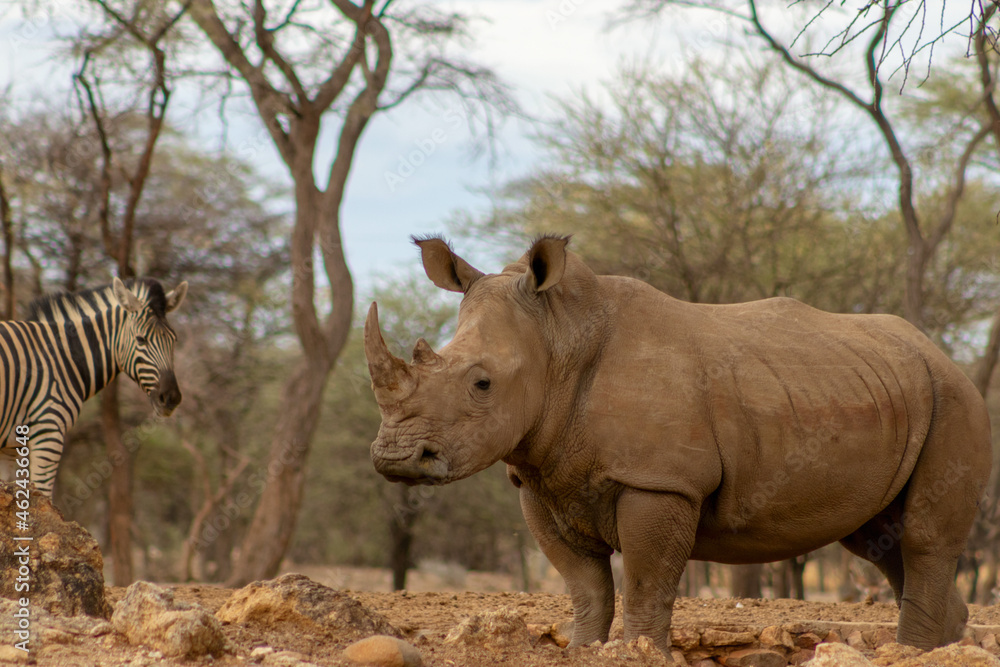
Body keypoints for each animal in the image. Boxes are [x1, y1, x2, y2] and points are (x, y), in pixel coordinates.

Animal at [364, 235, 991, 656]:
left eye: (482, 383)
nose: (394, 458)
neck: (558, 337)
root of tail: (944, 354)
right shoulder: (541, 477)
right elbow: (585, 586)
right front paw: (583, 652)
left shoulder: (661, 481)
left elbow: (646, 583)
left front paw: (640, 654)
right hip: (888, 390)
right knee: (879, 541)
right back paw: (943, 647)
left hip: (955, 399)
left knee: (923, 539)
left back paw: (912, 654)